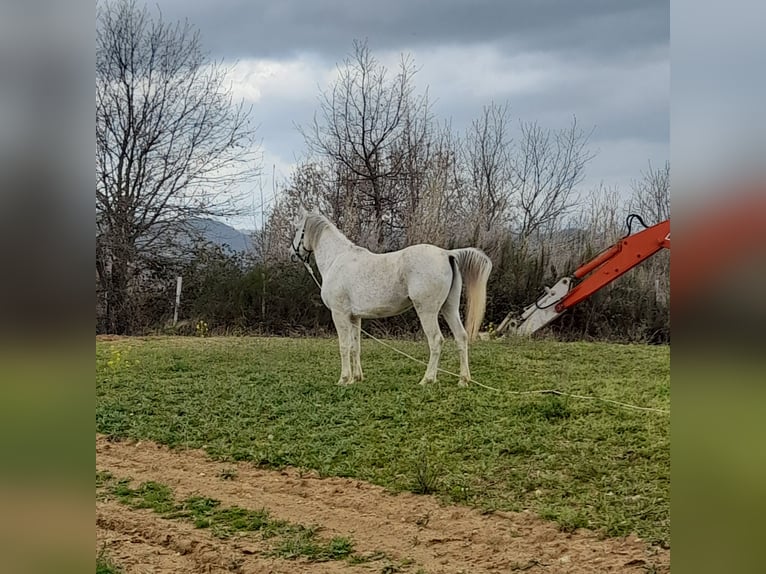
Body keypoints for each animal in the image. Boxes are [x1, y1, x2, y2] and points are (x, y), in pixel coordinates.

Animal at [292, 209, 496, 390]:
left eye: (297, 228)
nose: (293, 254)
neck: (336, 259)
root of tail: (447, 254)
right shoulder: (354, 317)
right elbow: (355, 346)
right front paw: (356, 378)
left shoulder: (339, 314)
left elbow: (343, 346)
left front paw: (343, 379)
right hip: (449, 308)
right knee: (461, 337)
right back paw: (463, 380)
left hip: (427, 311)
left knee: (436, 340)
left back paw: (427, 379)